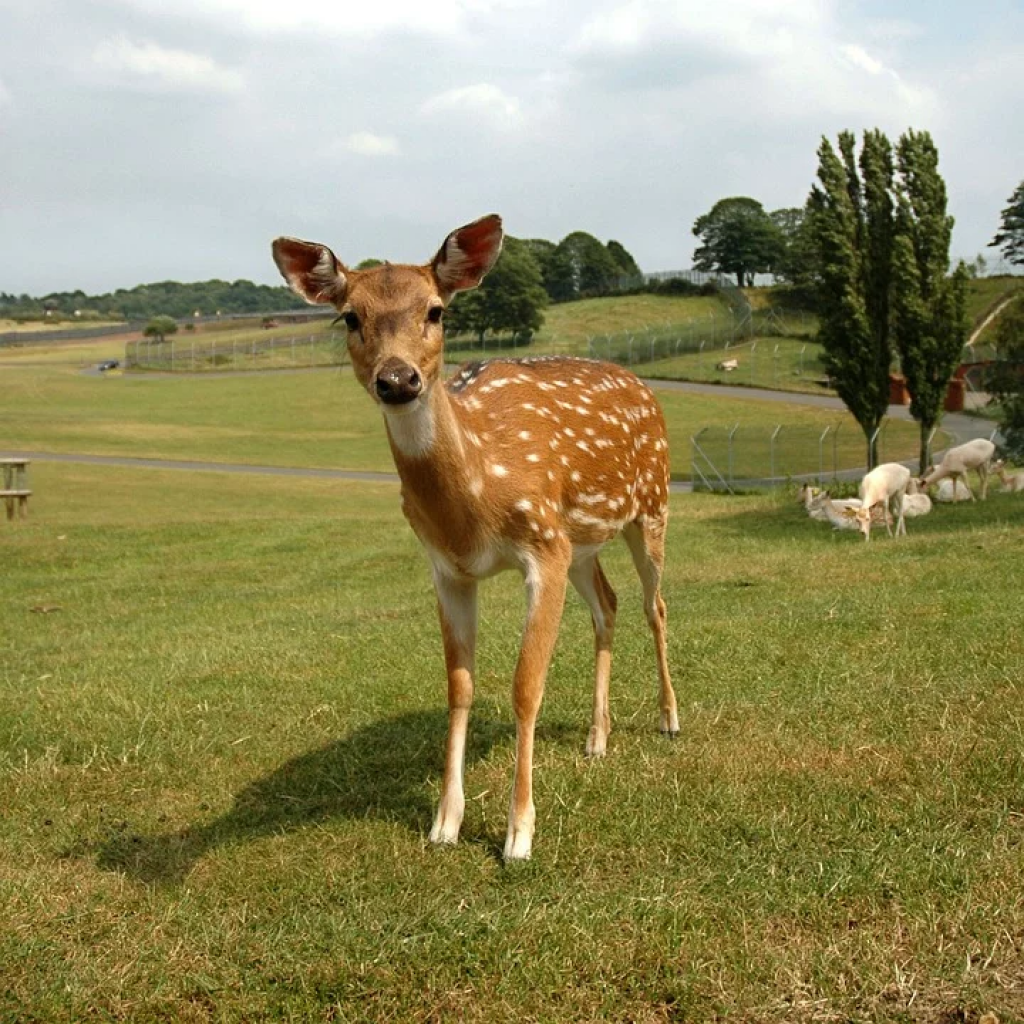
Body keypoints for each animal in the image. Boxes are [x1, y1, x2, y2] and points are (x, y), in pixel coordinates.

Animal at [270, 218, 679, 864]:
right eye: (350, 317)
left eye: (436, 310)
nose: (398, 379)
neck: (478, 500)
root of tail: (644, 384)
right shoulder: (450, 569)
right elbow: (459, 687)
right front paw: (445, 821)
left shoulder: (542, 546)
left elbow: (525, 686)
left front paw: (519, 833)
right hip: (582, 542)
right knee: (608, 605)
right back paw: (597, 737)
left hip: (652, 505)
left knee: (654, 604)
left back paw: (668, 719)